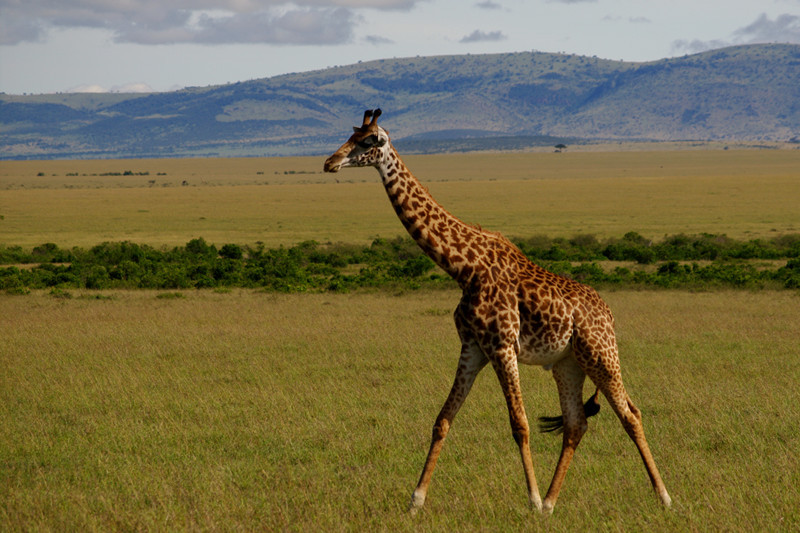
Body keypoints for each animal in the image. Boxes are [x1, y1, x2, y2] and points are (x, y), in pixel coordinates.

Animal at [323, 109, 672, 514]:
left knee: (631, 414)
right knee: (576, 424)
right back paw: (552, 502)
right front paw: (416, 500)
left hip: (601, 355)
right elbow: (443, 419)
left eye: (369, 141)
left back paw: (663, 497)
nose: (330, 163)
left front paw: (531, 500)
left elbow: (519, 423)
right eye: (350, 136)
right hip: (568, 363)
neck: (464, 267)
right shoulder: (473, 347)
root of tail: (608, 312)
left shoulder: (503, 346)